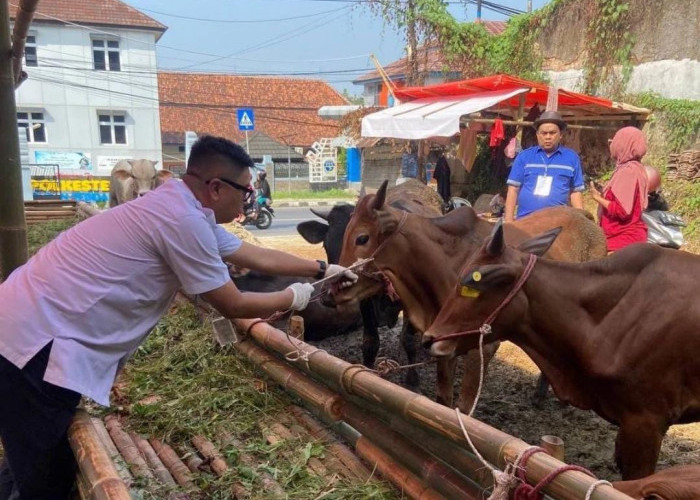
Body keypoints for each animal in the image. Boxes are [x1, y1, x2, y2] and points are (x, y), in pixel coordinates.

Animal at [334, 180, 608, 410]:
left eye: (362, 238)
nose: (334, 286)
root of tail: (585, 217)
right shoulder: (441, 343)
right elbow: (443, 398)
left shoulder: (483, 346)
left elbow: (464, 407)